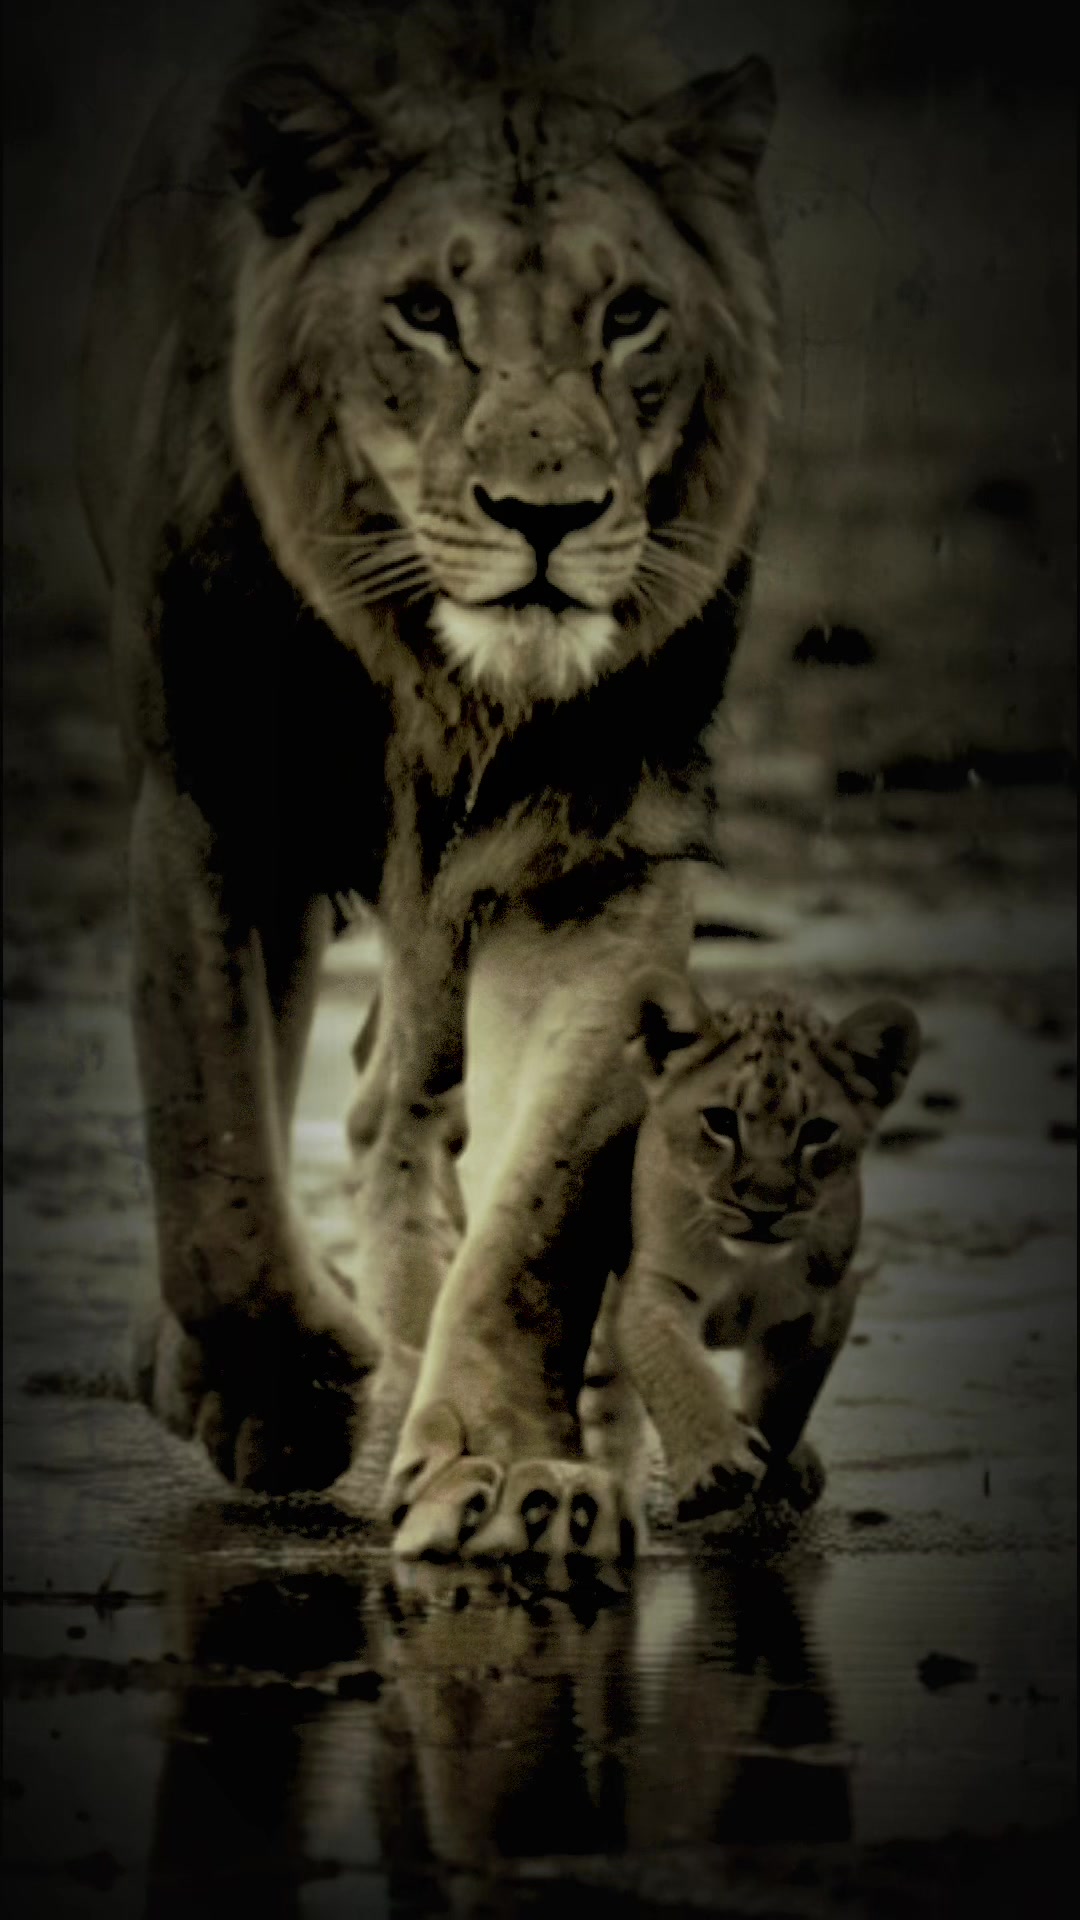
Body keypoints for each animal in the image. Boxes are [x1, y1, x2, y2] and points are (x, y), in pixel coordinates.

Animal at [77, 0, 780, 1567]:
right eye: (422, 314)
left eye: (628, 315)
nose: (547, 516)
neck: (441, 677)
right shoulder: (212, 797)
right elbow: (213, 1152)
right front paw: (274, 1398)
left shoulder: (596, 850)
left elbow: (543, 1205)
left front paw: (513, 1470)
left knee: (398, 1102)